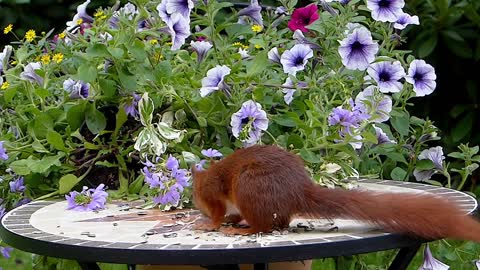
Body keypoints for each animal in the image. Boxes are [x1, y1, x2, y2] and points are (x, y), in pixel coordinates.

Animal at [193, 144, 480, 242]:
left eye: (197, 196)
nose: (198, 208)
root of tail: (298, 191)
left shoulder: (214, 195)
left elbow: (218, 214)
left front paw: (209, 224)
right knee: (278, 221)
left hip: (249, 188)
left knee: (262, 225)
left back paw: (242, 229)